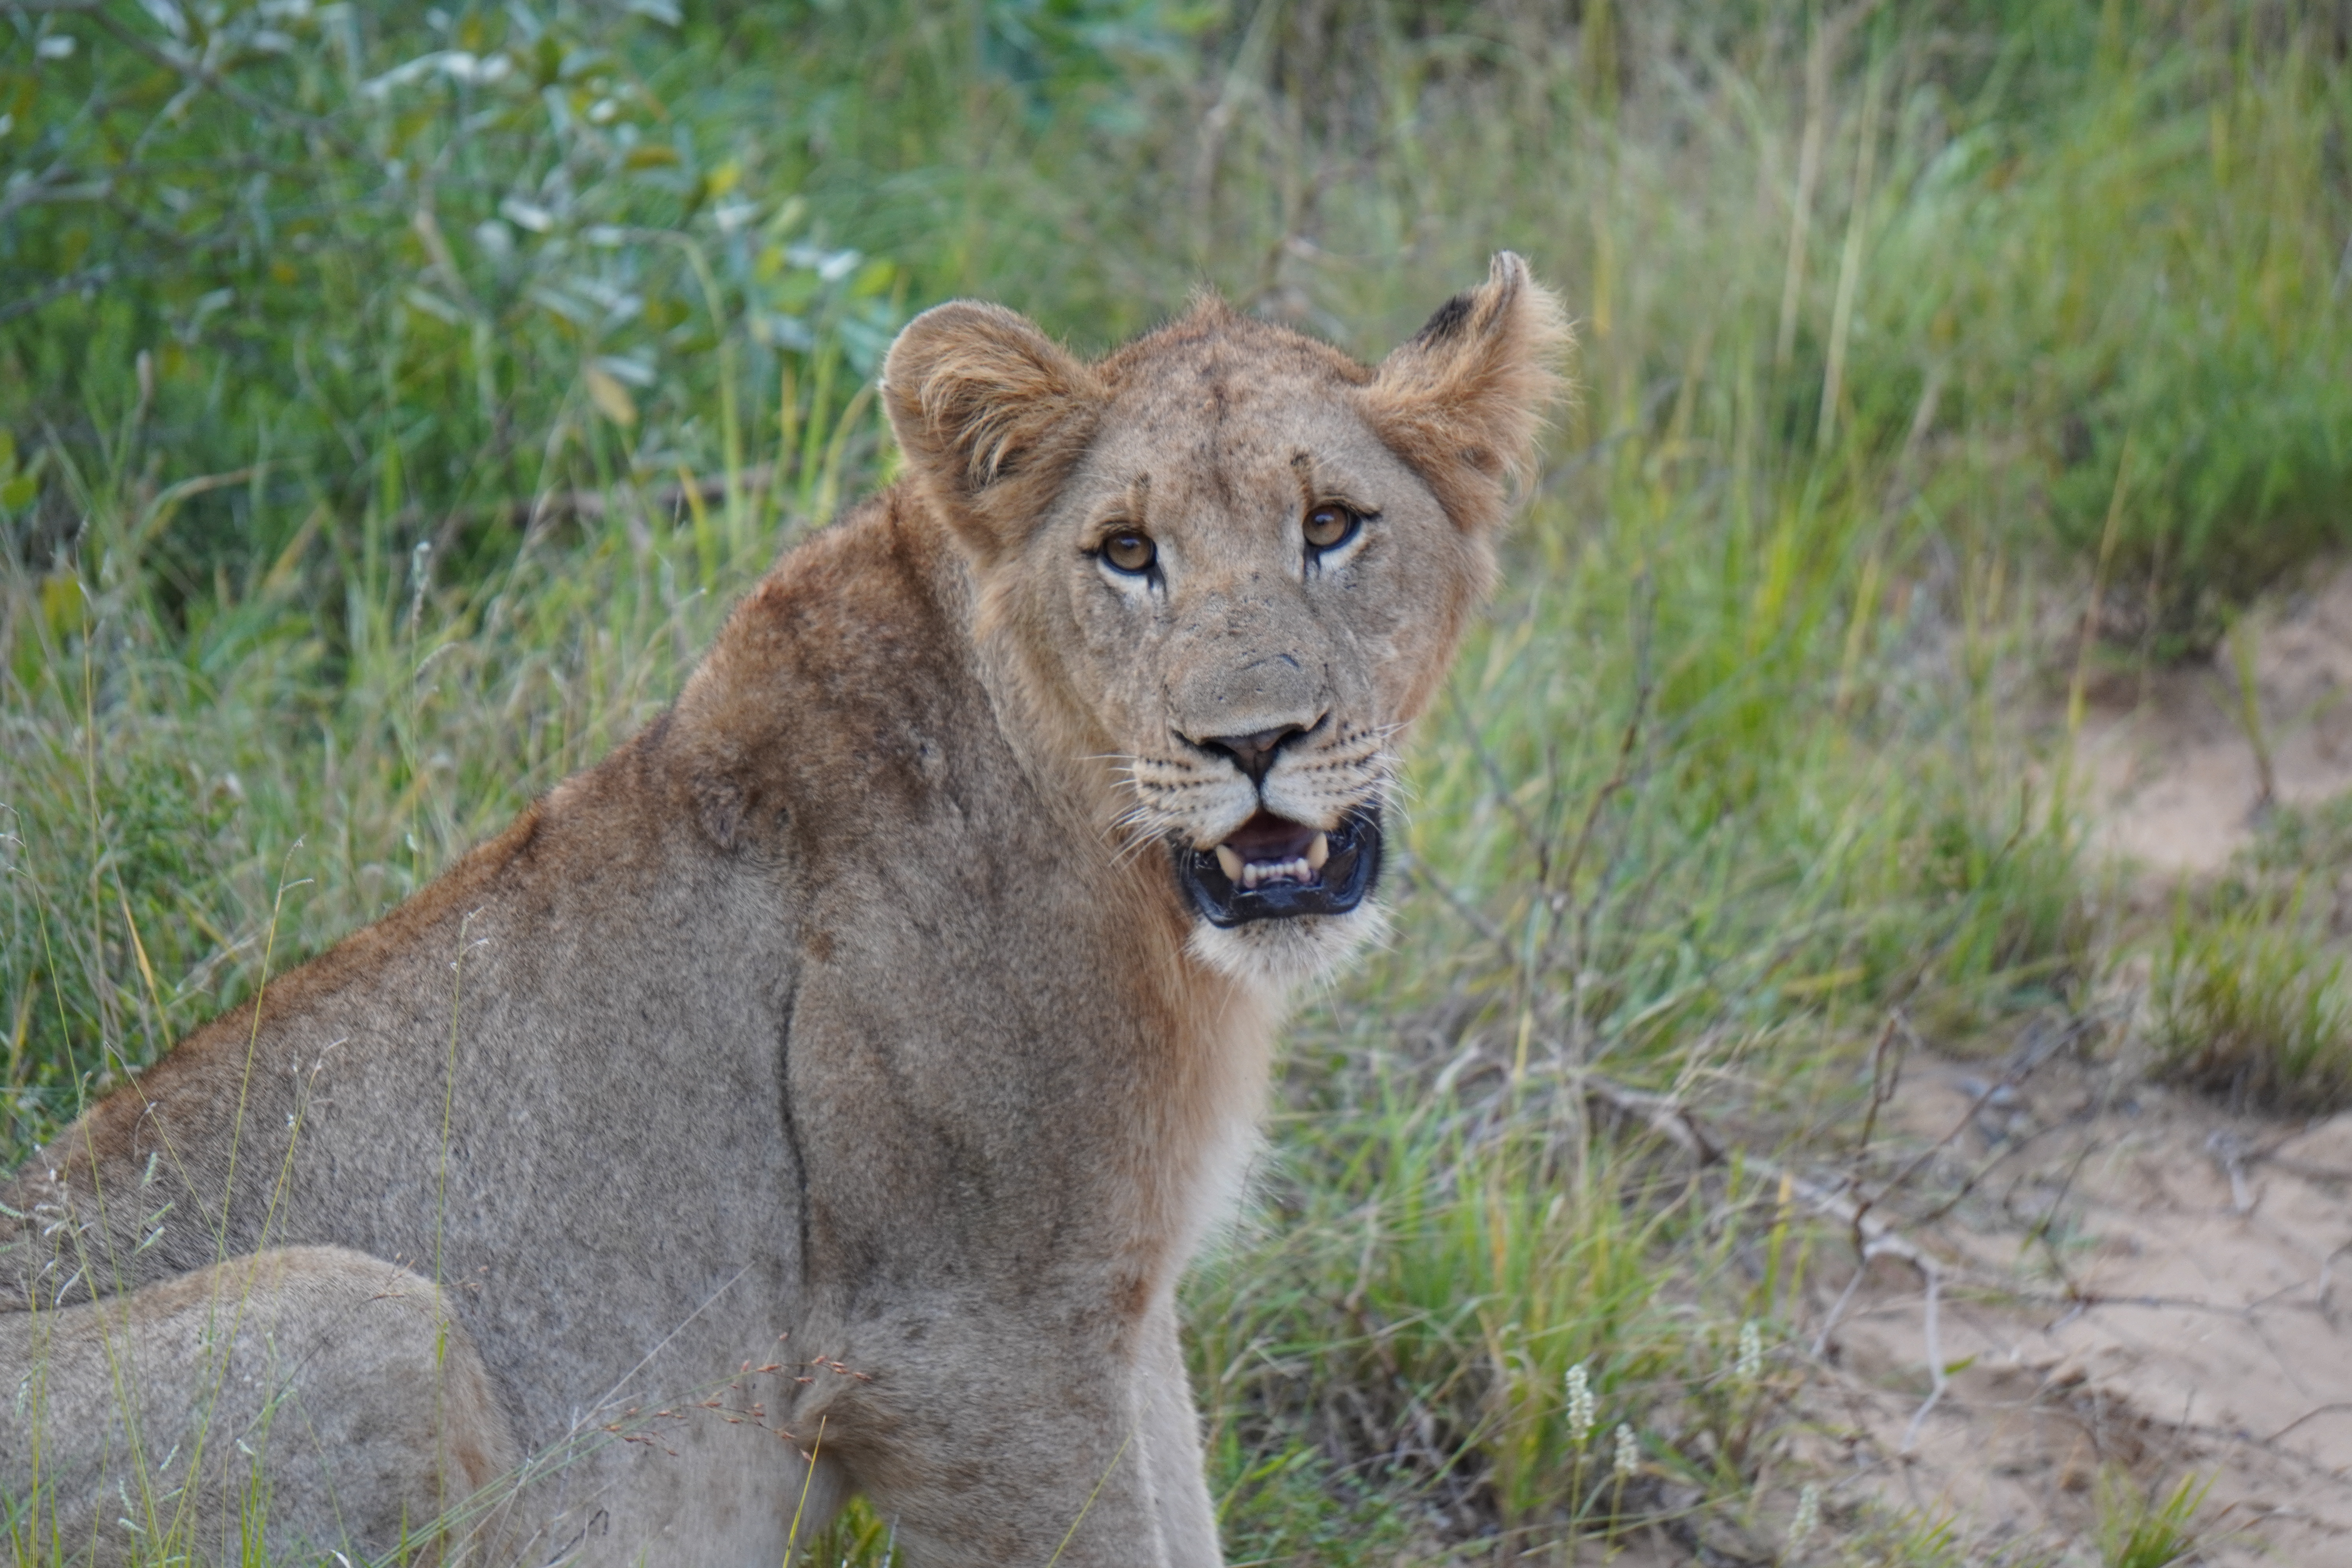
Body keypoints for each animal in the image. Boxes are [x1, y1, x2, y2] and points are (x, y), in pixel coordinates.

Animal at [0, 254, 1567, 1566]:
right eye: (1127, 552)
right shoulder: (958, 1348)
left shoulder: (1113, 1309)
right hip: (373, 1315)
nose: (1253, 740)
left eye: (1331, 527)